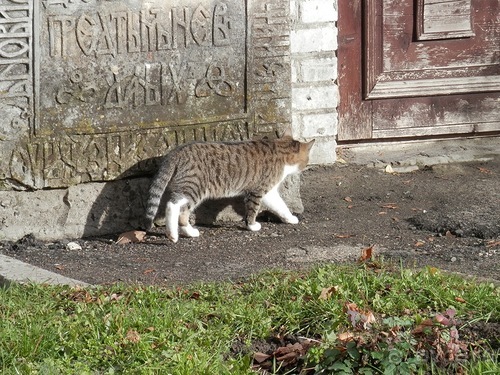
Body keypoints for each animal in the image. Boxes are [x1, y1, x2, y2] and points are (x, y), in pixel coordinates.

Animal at [145, 137, 314, 242]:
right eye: (306, 160)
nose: (305, 167)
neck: (279, 149)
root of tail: (176, 152)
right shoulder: (258, 190)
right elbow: (253, 210)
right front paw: (252, 226)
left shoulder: (269, 193)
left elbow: (281, 206)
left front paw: (290, 218)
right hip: (194, 188)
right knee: (173, 206)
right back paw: (177, 234)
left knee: (179, 209)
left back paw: (184, 233)